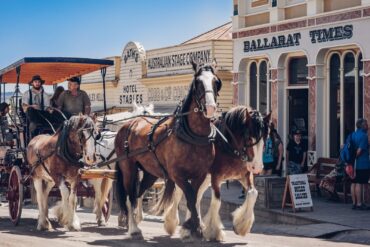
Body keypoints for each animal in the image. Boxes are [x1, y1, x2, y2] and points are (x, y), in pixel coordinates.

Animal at [114, 61, 221, 239]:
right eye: (198, 83)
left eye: (216, 82)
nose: (210, 107)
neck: (192, 136)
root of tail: (128, 124)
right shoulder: (177, 175)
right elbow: (190, 198)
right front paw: (195, 227)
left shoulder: (199, 175)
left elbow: (194, 200)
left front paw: (191, 226)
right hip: (128, 168)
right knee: (130, 198)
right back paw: (133, 228)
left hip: (149, 172)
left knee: (138, 195)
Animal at [152, 106, 270, 241]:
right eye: (249, 137)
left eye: (265, 137)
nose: (257, 167)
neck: (229, 145)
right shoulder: (216, 177)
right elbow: (216, 201)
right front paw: (213, 231)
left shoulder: (244, 176)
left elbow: (253, 193)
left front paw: (241, 226)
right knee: (180, 195)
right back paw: (173, 223)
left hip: (204, 178)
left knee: (196, 197)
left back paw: (191, 226)